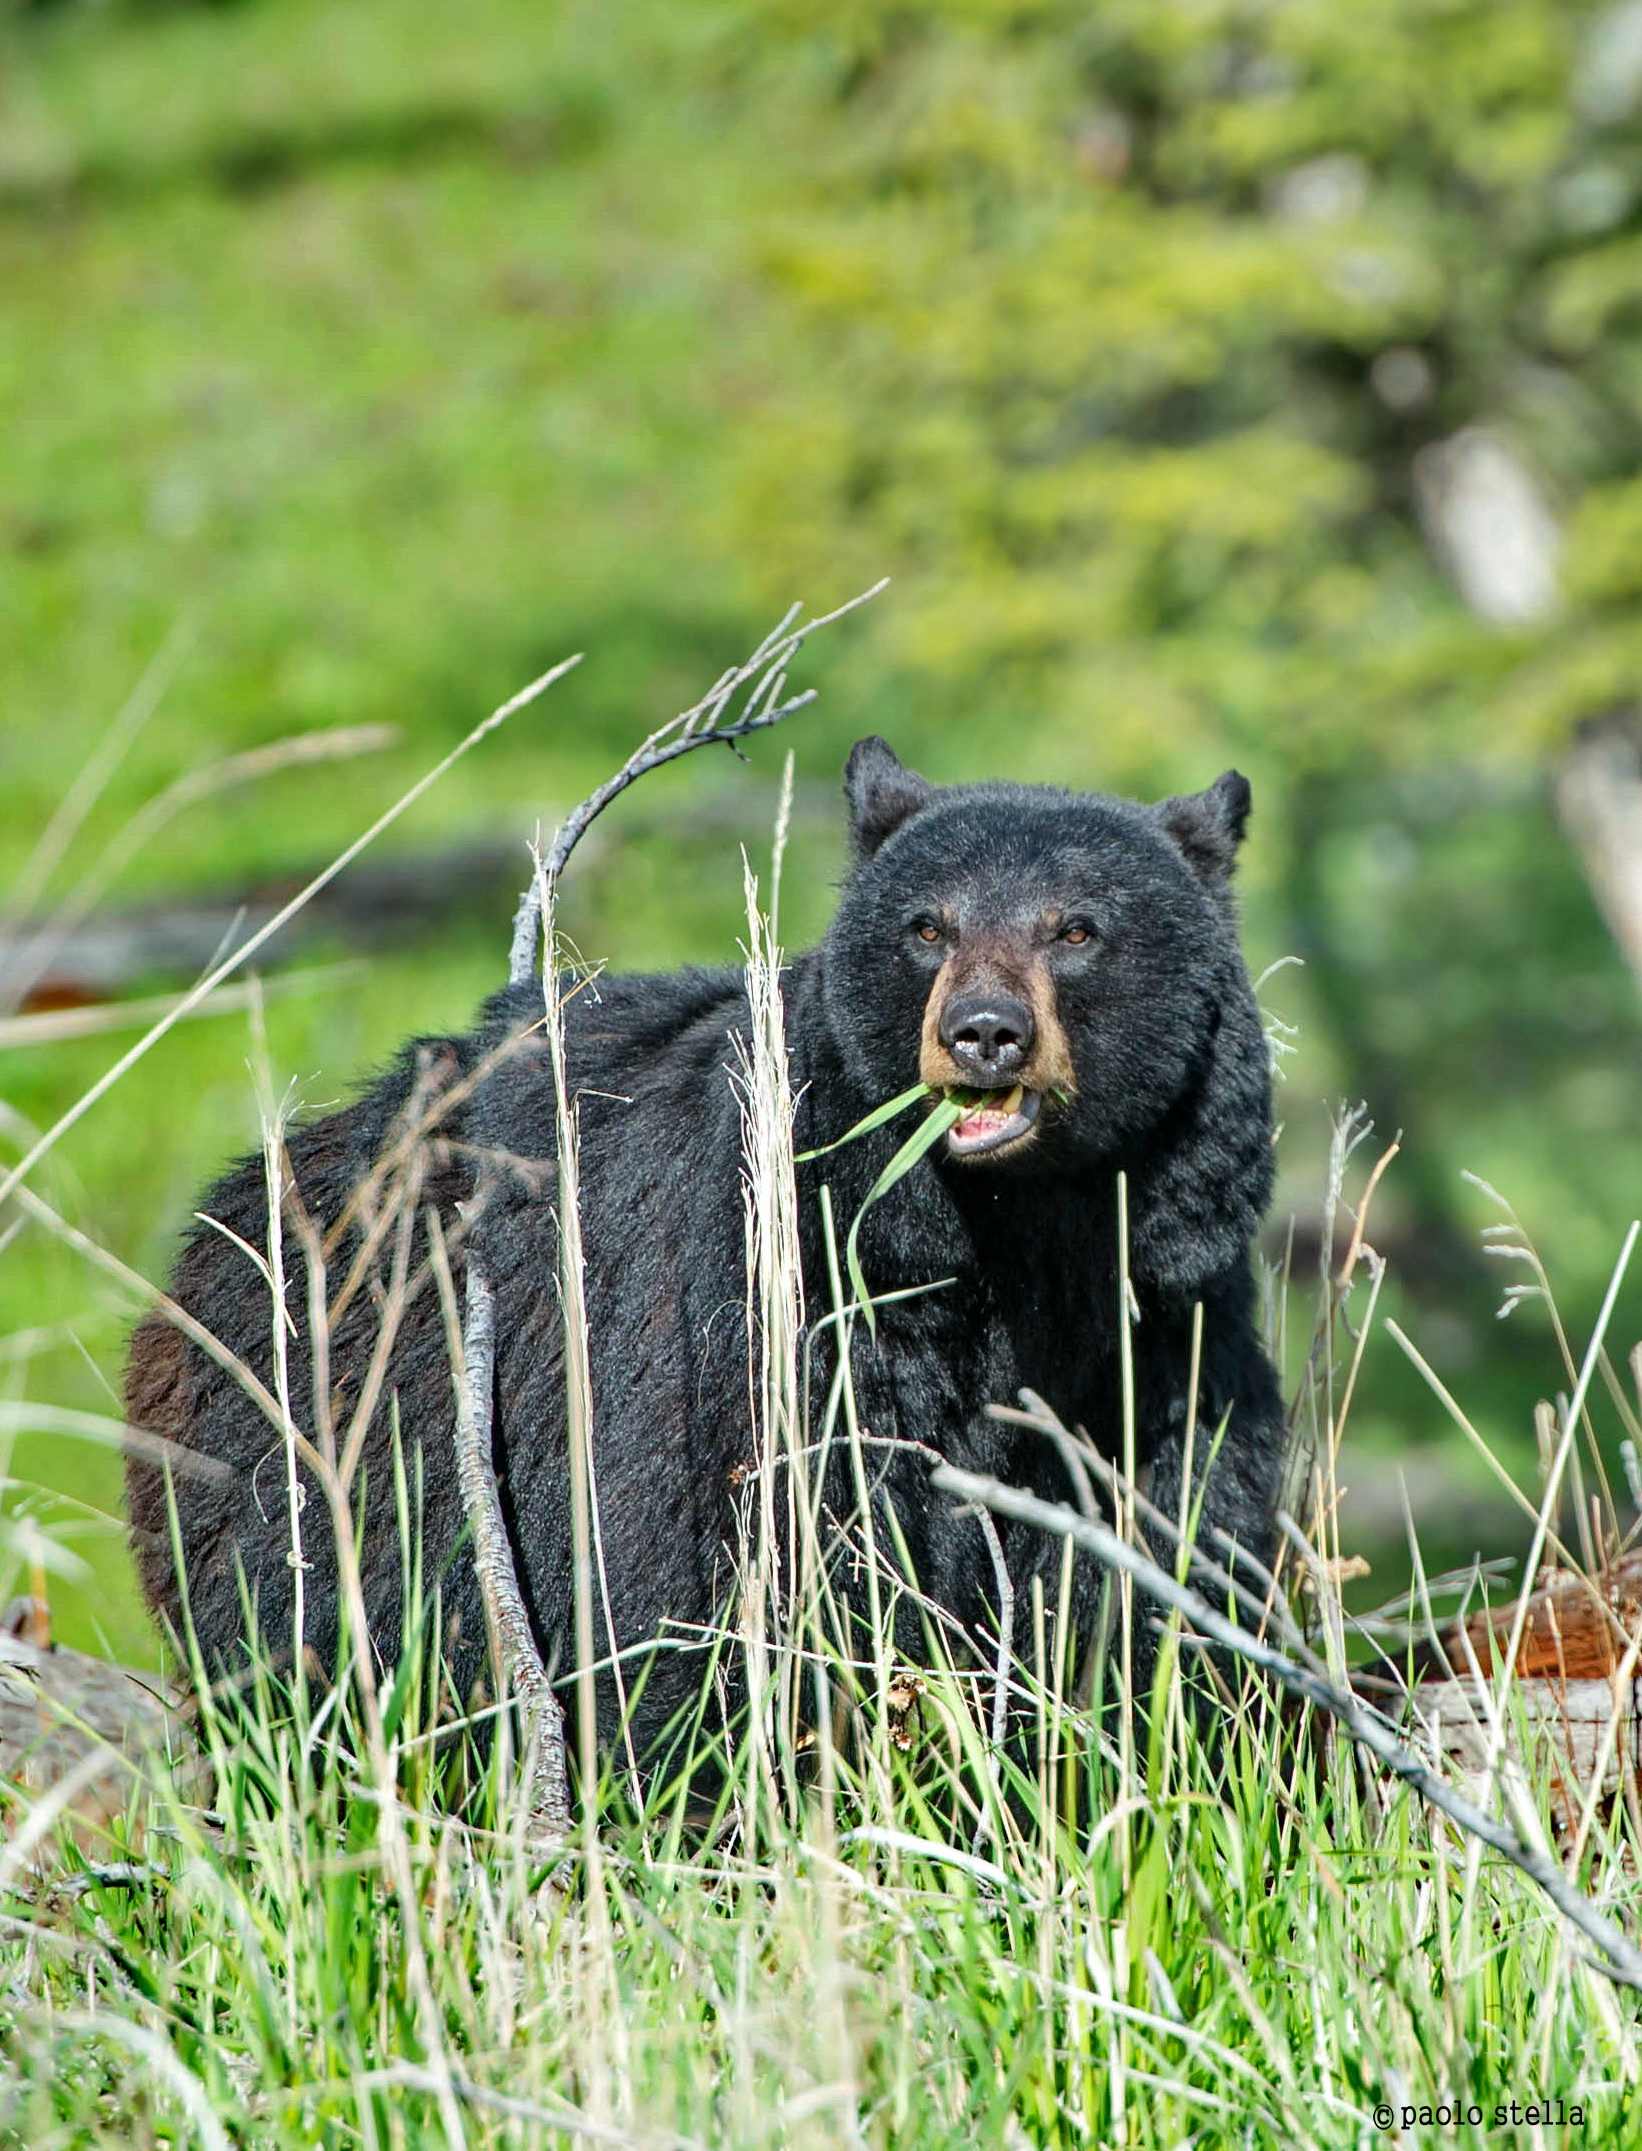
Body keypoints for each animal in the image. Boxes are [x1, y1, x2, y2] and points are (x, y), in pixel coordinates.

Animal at [124, 737, 1285, 1765]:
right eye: (926, 926)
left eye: (1076, 929)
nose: (984, 1029)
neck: (1009, 1238)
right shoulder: (756, 1308)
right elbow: (731, 1567)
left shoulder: (1165, 1335)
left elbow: (1172, 1552)